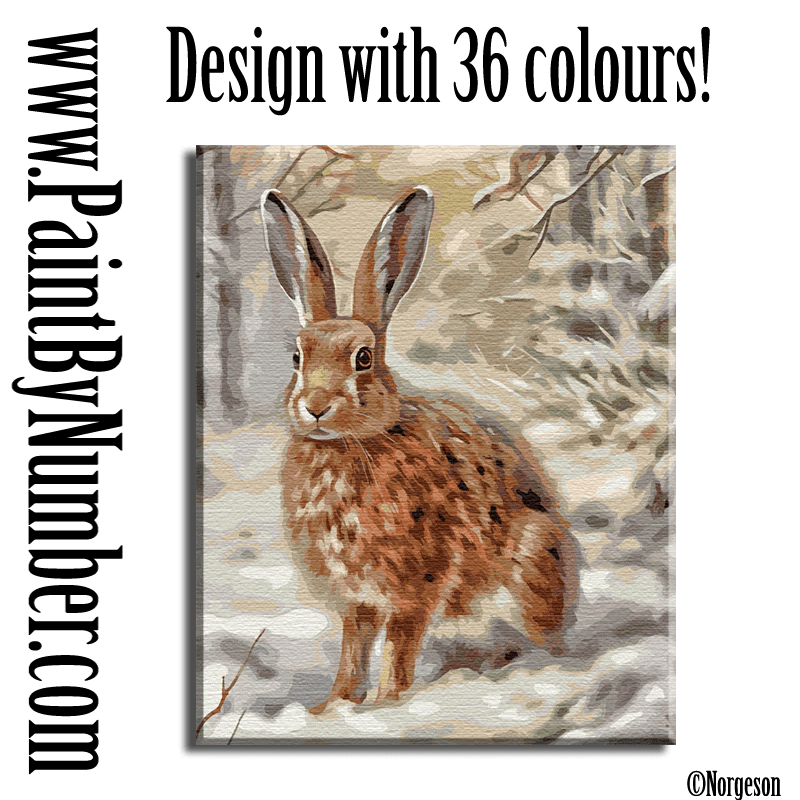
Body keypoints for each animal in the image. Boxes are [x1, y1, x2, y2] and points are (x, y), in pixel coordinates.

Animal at [260, 186, 578, 713]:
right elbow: (353, 649)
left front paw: (386, 704)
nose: (316, 407)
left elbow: (398, 647)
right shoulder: (357, 601)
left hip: (532, 560)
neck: (349, 446)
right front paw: (334, 707)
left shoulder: (414, 588)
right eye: (296, 357)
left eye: (363, 358)